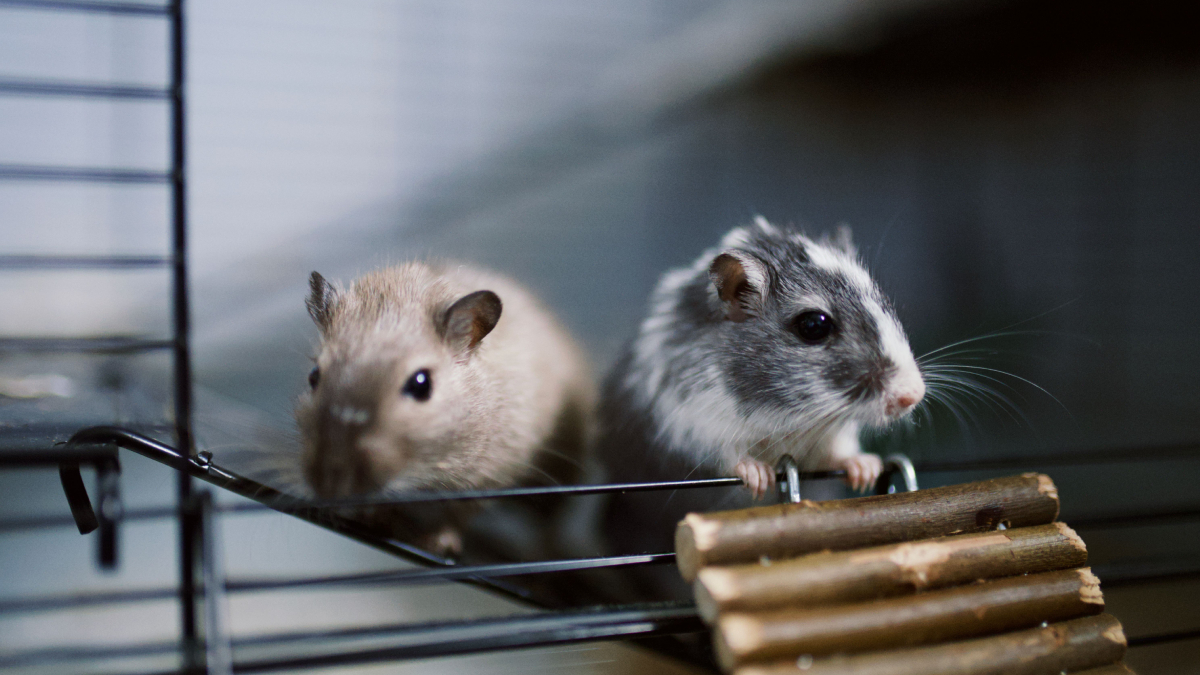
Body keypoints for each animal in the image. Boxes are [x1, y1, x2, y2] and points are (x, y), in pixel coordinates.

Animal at [294, 262, 595, 553]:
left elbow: (458, 514)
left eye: (421, 385)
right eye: (313, 376)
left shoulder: (490, 474)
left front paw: (438, 544)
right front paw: (373, 518)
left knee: (550, 526)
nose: (330, 489)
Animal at [595, 218, 924, 592]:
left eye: (884, 305)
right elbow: (729, 456)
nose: (913, 395)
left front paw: (865, 470)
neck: (785, 412)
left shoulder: (830, 433)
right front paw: (759, 478)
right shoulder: (693, 422)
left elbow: (839, 450)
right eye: (813, 325)